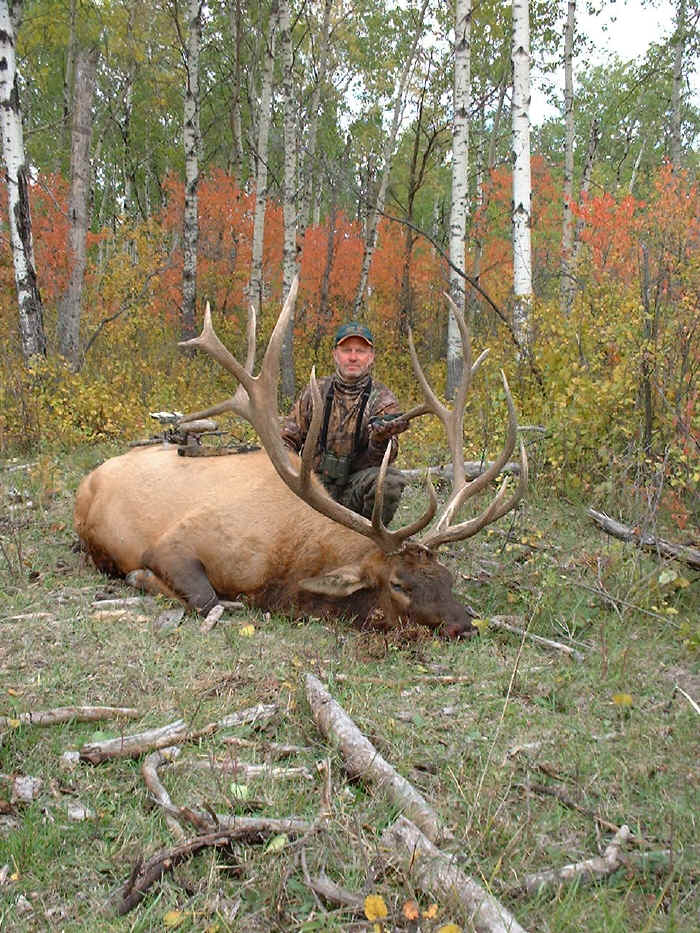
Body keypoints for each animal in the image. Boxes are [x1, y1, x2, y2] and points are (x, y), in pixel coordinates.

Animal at [74, 278, 527, 638]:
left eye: (447, 578)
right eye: (400, 584)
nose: (463, 625)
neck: (287, 566)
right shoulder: (173, 544)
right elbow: (206, 598)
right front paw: (143, 578)